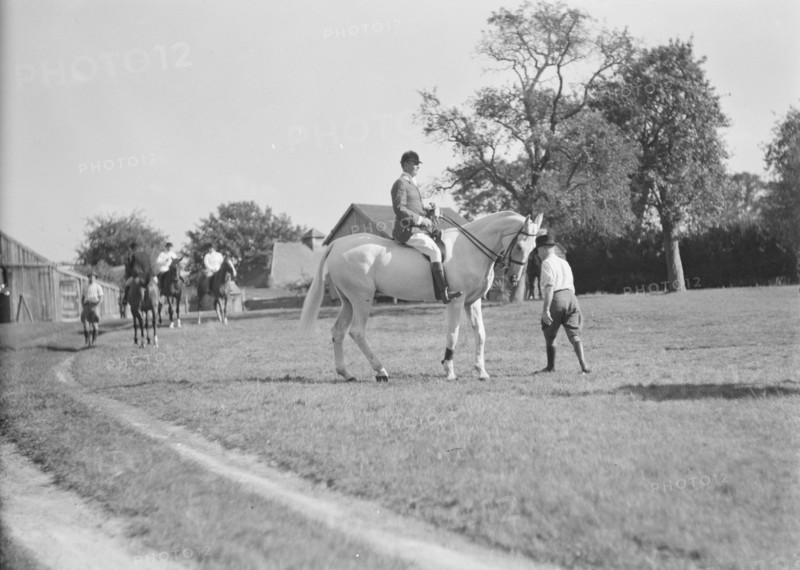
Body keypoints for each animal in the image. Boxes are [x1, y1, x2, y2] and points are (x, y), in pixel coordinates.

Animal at [300, 211, 545, 382]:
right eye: (520, 245)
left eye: (533, 247)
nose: (514, 278)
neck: (470, 249)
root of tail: (337, 243)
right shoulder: (456, 302)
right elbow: (453, 334)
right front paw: (449, 371)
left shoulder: (472, 302)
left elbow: (481, 334)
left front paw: (481, 371)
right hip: (362, 299)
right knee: (357, 332)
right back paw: (381, 371)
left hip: (348, 301)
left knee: (338, 332)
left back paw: (347, 373)